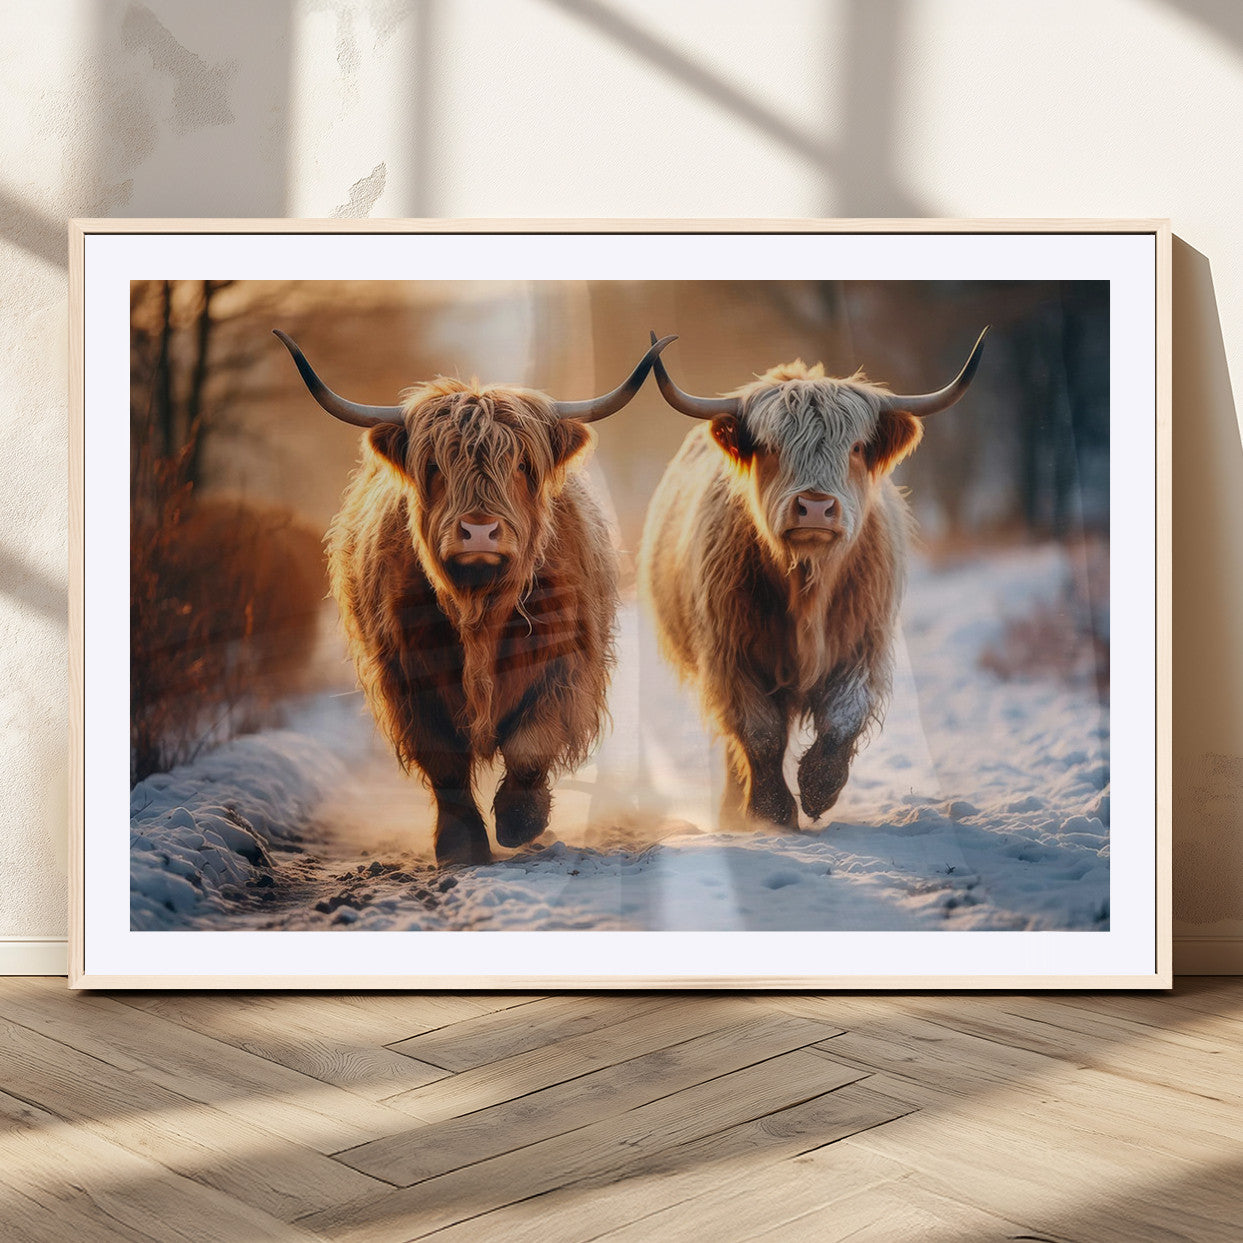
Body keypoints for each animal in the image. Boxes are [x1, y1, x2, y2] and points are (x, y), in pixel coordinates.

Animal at [275, 329, 674, 865]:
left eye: (522, 464)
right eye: (434, 465)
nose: (479, 531)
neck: (479, 607)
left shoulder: (564, 663)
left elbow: (530, 744)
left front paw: (520, 821)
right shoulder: (407, 673)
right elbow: (442, 759)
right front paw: (461, 846)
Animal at [638, 329, 987, 831]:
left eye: (856, 447)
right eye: (770, 447)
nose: (816, 507)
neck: (808, 582)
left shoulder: (863, 643)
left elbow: (843, 717)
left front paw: (819, 789)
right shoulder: (731, 654)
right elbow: (759, 733)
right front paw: (771, 811)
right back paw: (732, 811)